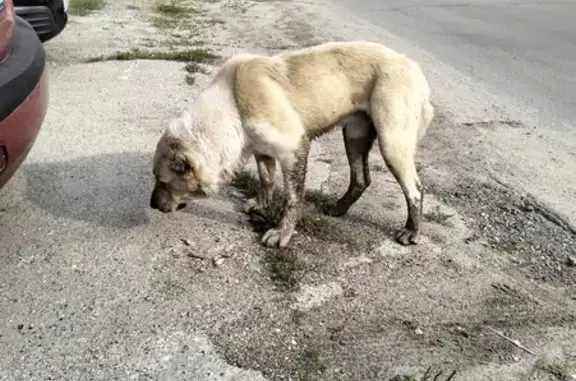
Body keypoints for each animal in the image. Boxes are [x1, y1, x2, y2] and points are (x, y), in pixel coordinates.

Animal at [151, 41, 434, 248]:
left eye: (163, 181)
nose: (152, 205)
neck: (233, 105)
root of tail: (415, 69)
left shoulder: (294, 148)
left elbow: (292, 199)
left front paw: (281, 234)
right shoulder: (262, 149)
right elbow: (266, 180)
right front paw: (262, 205)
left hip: (391, 143)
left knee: (415, 189)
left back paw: (411, 231)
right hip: (354, 135)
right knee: (361, 178)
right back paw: (338, 208)